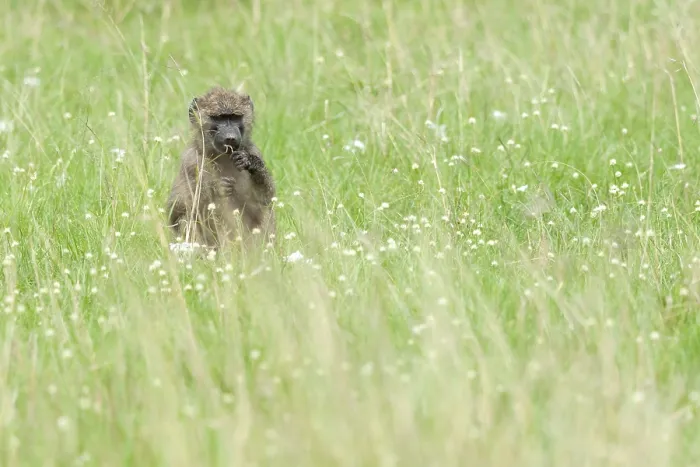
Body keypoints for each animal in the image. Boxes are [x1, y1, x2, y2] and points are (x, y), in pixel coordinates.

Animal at [165, 86, 276, 250]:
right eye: (219, 118)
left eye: (235, 117)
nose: (230, 137)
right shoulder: (191, 161)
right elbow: (176, 209)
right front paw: (216, 187)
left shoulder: (253, 150)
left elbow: (267, 198)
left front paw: (251, 163)